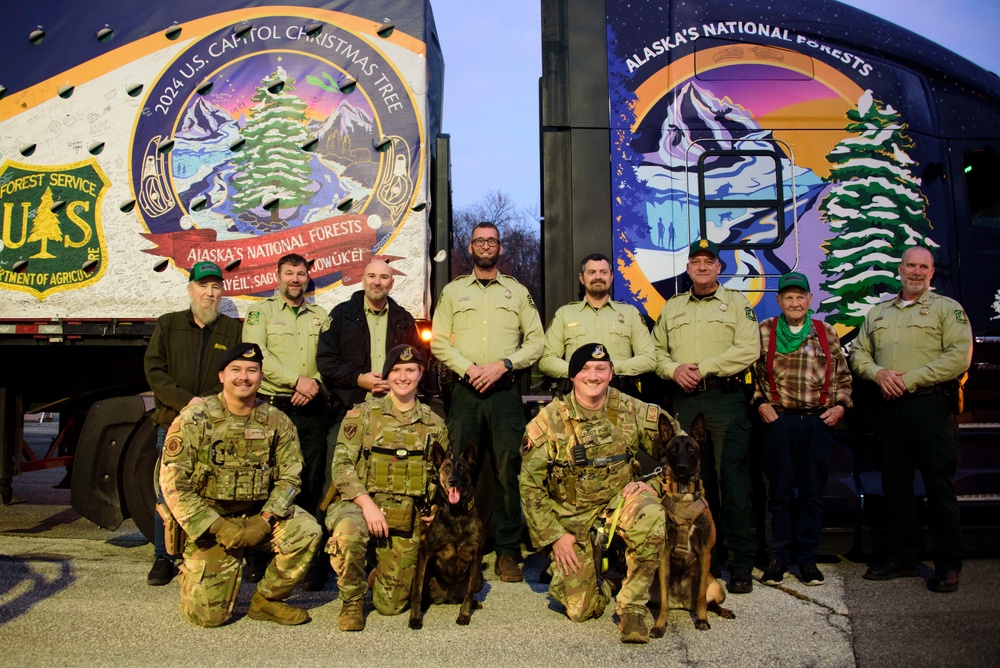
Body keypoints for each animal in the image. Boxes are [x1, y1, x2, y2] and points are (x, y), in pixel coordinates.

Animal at [406, 440, 484, 628]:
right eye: (446, 468)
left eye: (462, 467)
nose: (452, 481)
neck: (456, 514)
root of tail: (449, 598)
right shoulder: (425, 553)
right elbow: (417, 591)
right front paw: (415, 617)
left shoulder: (477, 555)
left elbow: (469, 592)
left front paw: (464, 614)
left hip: (479, 577)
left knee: (467, 594)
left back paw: (473, 603)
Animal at [652, 410, 732, 636]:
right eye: (672, 449)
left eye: (691, 449)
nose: (681, 467)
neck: (683, 493)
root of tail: (681, 604)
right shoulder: (664, 555)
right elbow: (663, 602)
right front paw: (660, 625)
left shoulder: (705, 553)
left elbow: (702, 597)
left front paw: (702, 620)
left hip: (718, 587)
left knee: (710, 601)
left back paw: (722, 611)